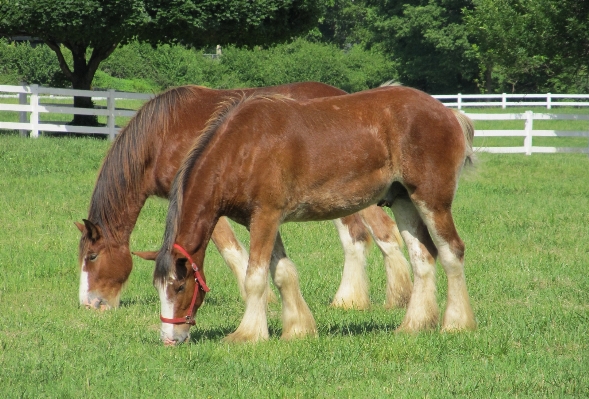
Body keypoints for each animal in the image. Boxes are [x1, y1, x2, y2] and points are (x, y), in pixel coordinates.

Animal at [76, 82, 412, 312]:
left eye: (92, 256)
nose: (90, 304)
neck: (161, 137)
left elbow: (231, 251)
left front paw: (261, 298)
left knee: (364, 235)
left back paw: (352, 298)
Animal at [149, 85, 476, 346]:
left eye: (179, 286)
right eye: (158, 289)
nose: (169, 339)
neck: (242, 148)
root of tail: (448, 113)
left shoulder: (265, 217)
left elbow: (255, 277)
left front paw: (248, 334)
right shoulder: (263, 222)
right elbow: (282, 273)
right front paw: (298, 329)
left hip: (431, 201)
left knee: (452, 252)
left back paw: (456, 324)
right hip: (404, 201)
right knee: (423, 257)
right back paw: (414, 325)